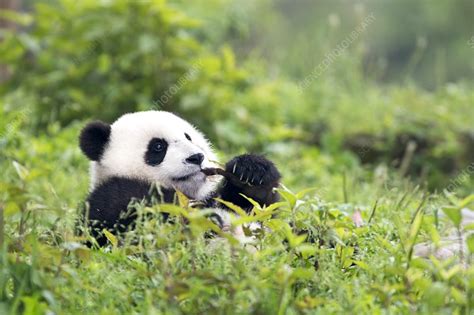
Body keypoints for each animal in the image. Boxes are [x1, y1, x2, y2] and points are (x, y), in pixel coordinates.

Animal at [79, 111, 282, 247]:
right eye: (158, 146)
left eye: (188, 137)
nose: (196, 157)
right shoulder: (108, 204)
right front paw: (205, 219)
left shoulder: (216, 198)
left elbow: (261, 209)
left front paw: (251, 171)